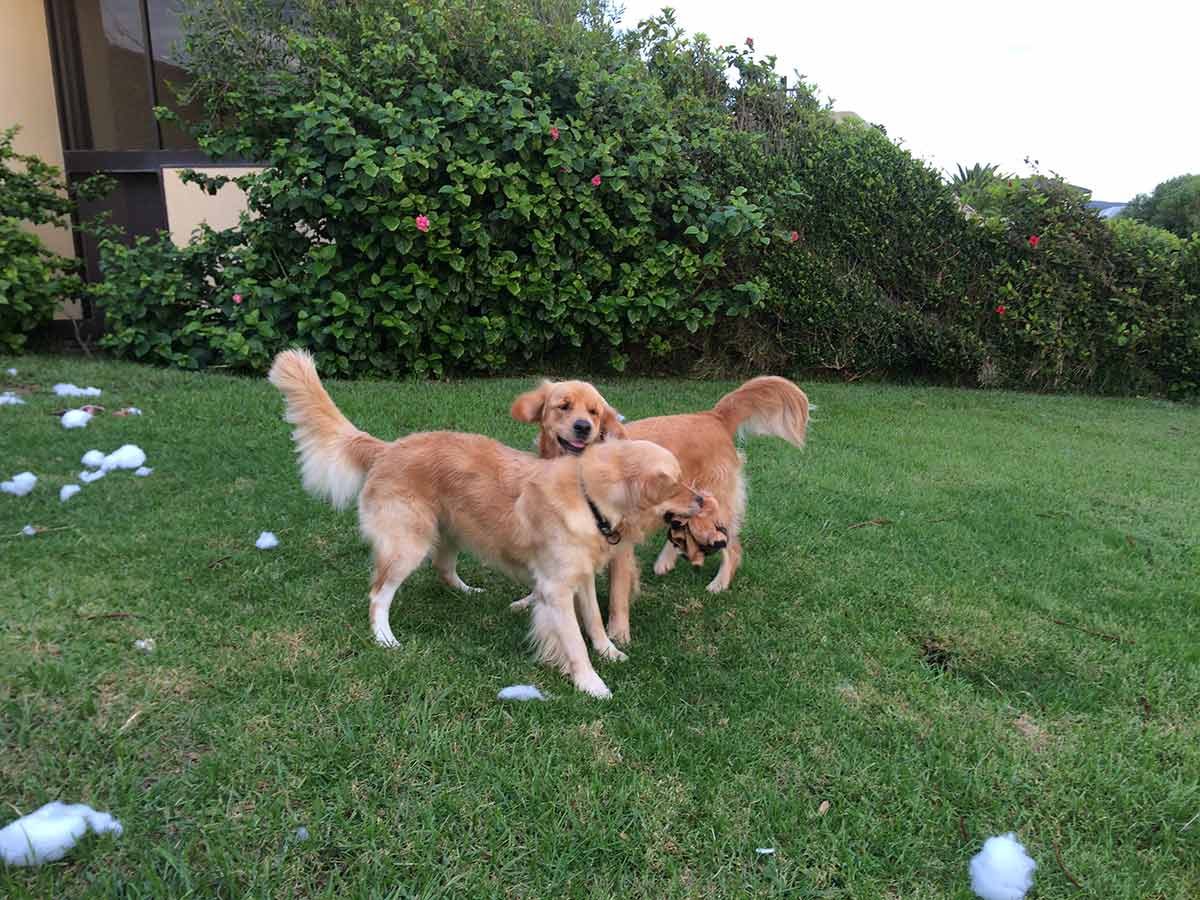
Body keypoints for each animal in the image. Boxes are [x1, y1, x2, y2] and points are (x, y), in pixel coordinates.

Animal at [268, 350, 708, 697]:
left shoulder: (581, 578)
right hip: (407, 543)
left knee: (443, 568)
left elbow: (597, 624)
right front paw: (591, 684)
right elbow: (575, 643)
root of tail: (389, 447)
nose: (703, 499)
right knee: (378, 594)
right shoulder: (557, 587)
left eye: (593, 413)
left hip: (450, 531)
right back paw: (385, 638)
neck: (587, 498)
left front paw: (611, 652)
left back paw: (467, 592)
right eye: (672, 482)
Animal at [513, 376, 809, 644]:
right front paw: (529, 599)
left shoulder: (620, 542)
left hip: (714, 503)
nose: (583, 426)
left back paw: (719, 583)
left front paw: (618, 633)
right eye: (563, 406)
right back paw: (665, 561)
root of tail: (713, 416)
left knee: (732, 547)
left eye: (594, 412)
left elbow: (618, 592)